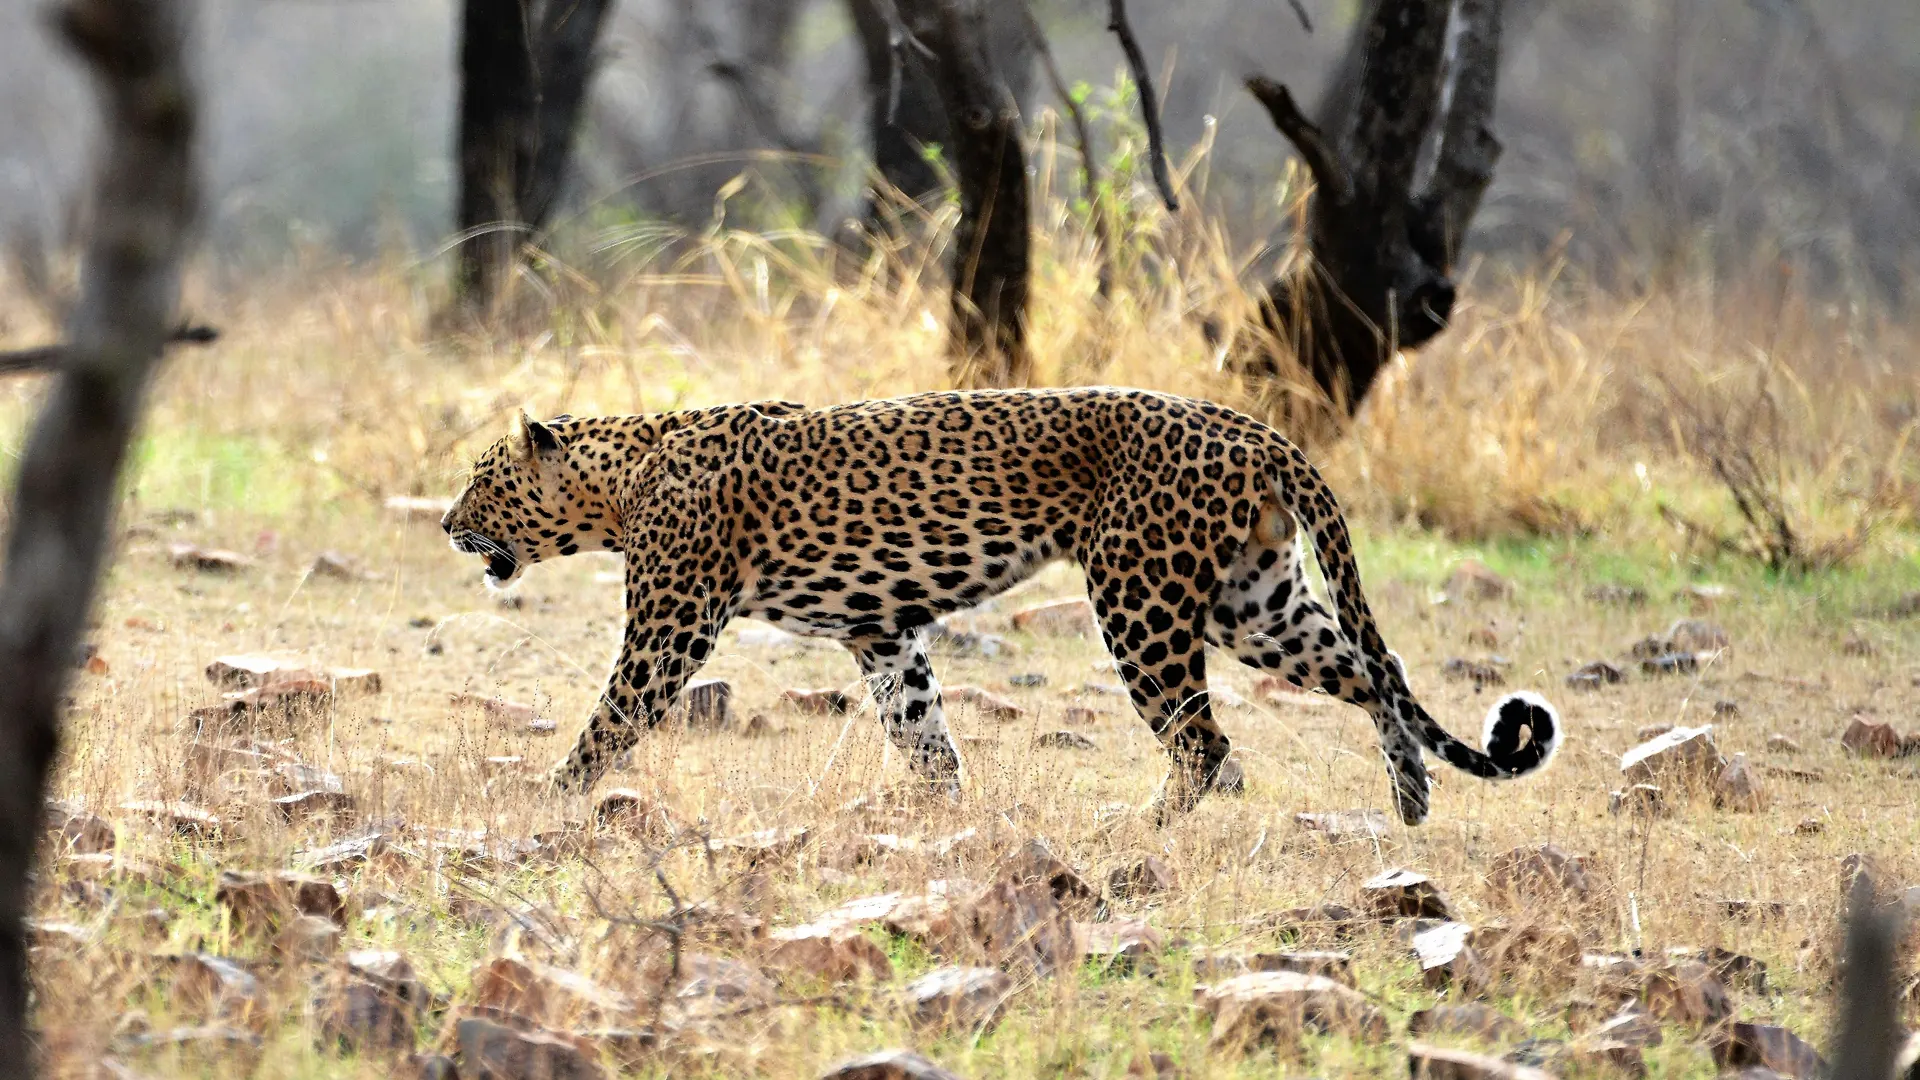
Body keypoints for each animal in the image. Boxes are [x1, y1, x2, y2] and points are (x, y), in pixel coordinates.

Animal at [445, 382, 1559, 818]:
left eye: (482, 480)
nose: (448, 523)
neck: (622, 475)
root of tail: (1250, 426)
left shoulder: (670, 624)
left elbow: (611, 718)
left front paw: (543, 801)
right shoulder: (881, 630)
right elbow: (923, 731)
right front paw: (949, 816)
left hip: (1144, 597)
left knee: (1206, 740)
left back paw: (1142, 829)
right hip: (1257, 599)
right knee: (1375, 671)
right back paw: (1409, 799)